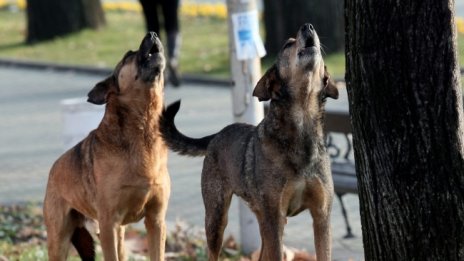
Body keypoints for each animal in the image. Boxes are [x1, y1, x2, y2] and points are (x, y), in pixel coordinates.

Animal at [43, 33, 169, 260]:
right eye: (128, 56)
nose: (153, 34)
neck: (143, 129)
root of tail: (53, 169)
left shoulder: (156, 221)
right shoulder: (108, 223)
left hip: (119, 233)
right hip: (59, 239)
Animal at [160, 23, 338, 260]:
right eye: (287, 44)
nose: (307, 26)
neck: (301, 131)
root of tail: (217, 135)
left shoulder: (321, 215)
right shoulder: (275, 217)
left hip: (259, 218)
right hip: (216, 217)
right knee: (213, 251)